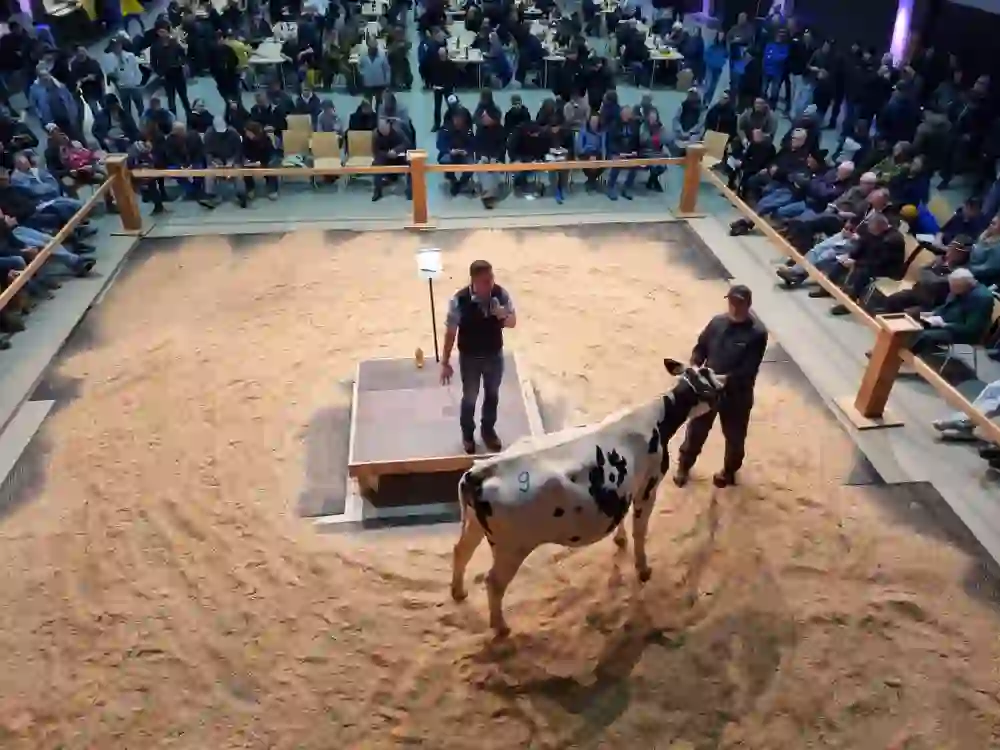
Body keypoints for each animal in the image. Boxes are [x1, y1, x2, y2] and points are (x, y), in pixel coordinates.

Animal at [450, 358, 728, 636]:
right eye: (712, 378)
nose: (726, 378)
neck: (657, 420)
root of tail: (479, 471)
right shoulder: (647, 487)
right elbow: (640, 532)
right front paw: (643, 569)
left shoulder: (623, 486)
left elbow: (621, 516)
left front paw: (620, 539)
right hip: (511, 548)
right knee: (494, 582)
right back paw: (501, 628)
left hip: (474, 525)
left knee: (461, 551)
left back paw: (458, 592)